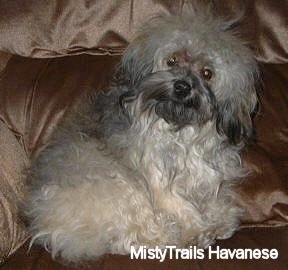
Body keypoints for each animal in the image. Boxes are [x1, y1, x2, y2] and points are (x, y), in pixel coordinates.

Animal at [23, 10, 258, 262]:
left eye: (207, 73)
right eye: (172, 60)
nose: (182, 87)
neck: (181, 131)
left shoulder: (208, 175)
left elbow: (210, 198)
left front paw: (219, 218)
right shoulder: (156, 178)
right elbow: (181, 205)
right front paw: (199, 231)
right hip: (116, 183)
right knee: (134, 236)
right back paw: (169, 234)